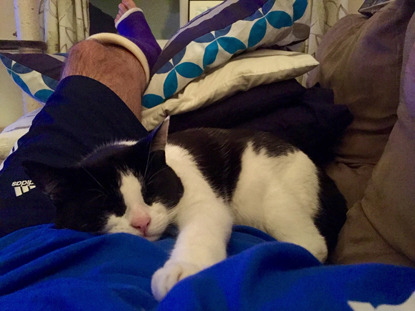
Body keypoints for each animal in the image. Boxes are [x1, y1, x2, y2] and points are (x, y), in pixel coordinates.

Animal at [23, 118, 348, 302]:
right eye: (107, 206)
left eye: (150, 191)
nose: (142, 222)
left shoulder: (202, 200)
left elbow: (201, 229)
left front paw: (183, 271)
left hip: (265, 193)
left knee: (312, 244)